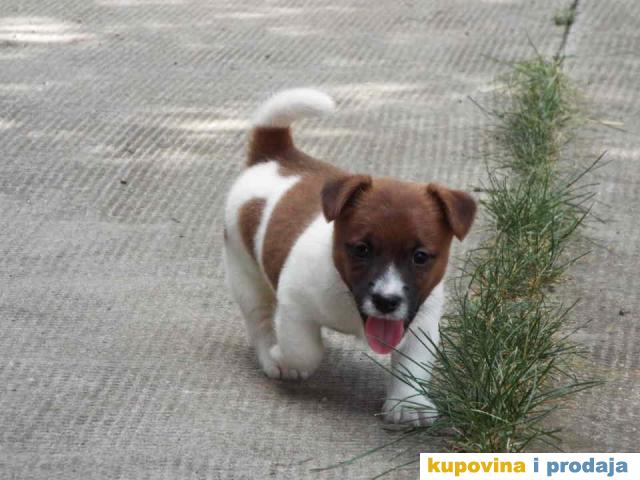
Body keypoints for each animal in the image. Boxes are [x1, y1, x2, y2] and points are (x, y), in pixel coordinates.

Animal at [223, 88, 476, 425]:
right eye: (362, 249)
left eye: (420, 256)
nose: (386, 301)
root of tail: (277, 157)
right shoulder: (295, 308)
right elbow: (304, 350)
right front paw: (286, 359)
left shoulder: (421, 322)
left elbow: (414, 365)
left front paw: (408, 404)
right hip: (245, 275)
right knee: (260, 322)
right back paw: (271, 357)